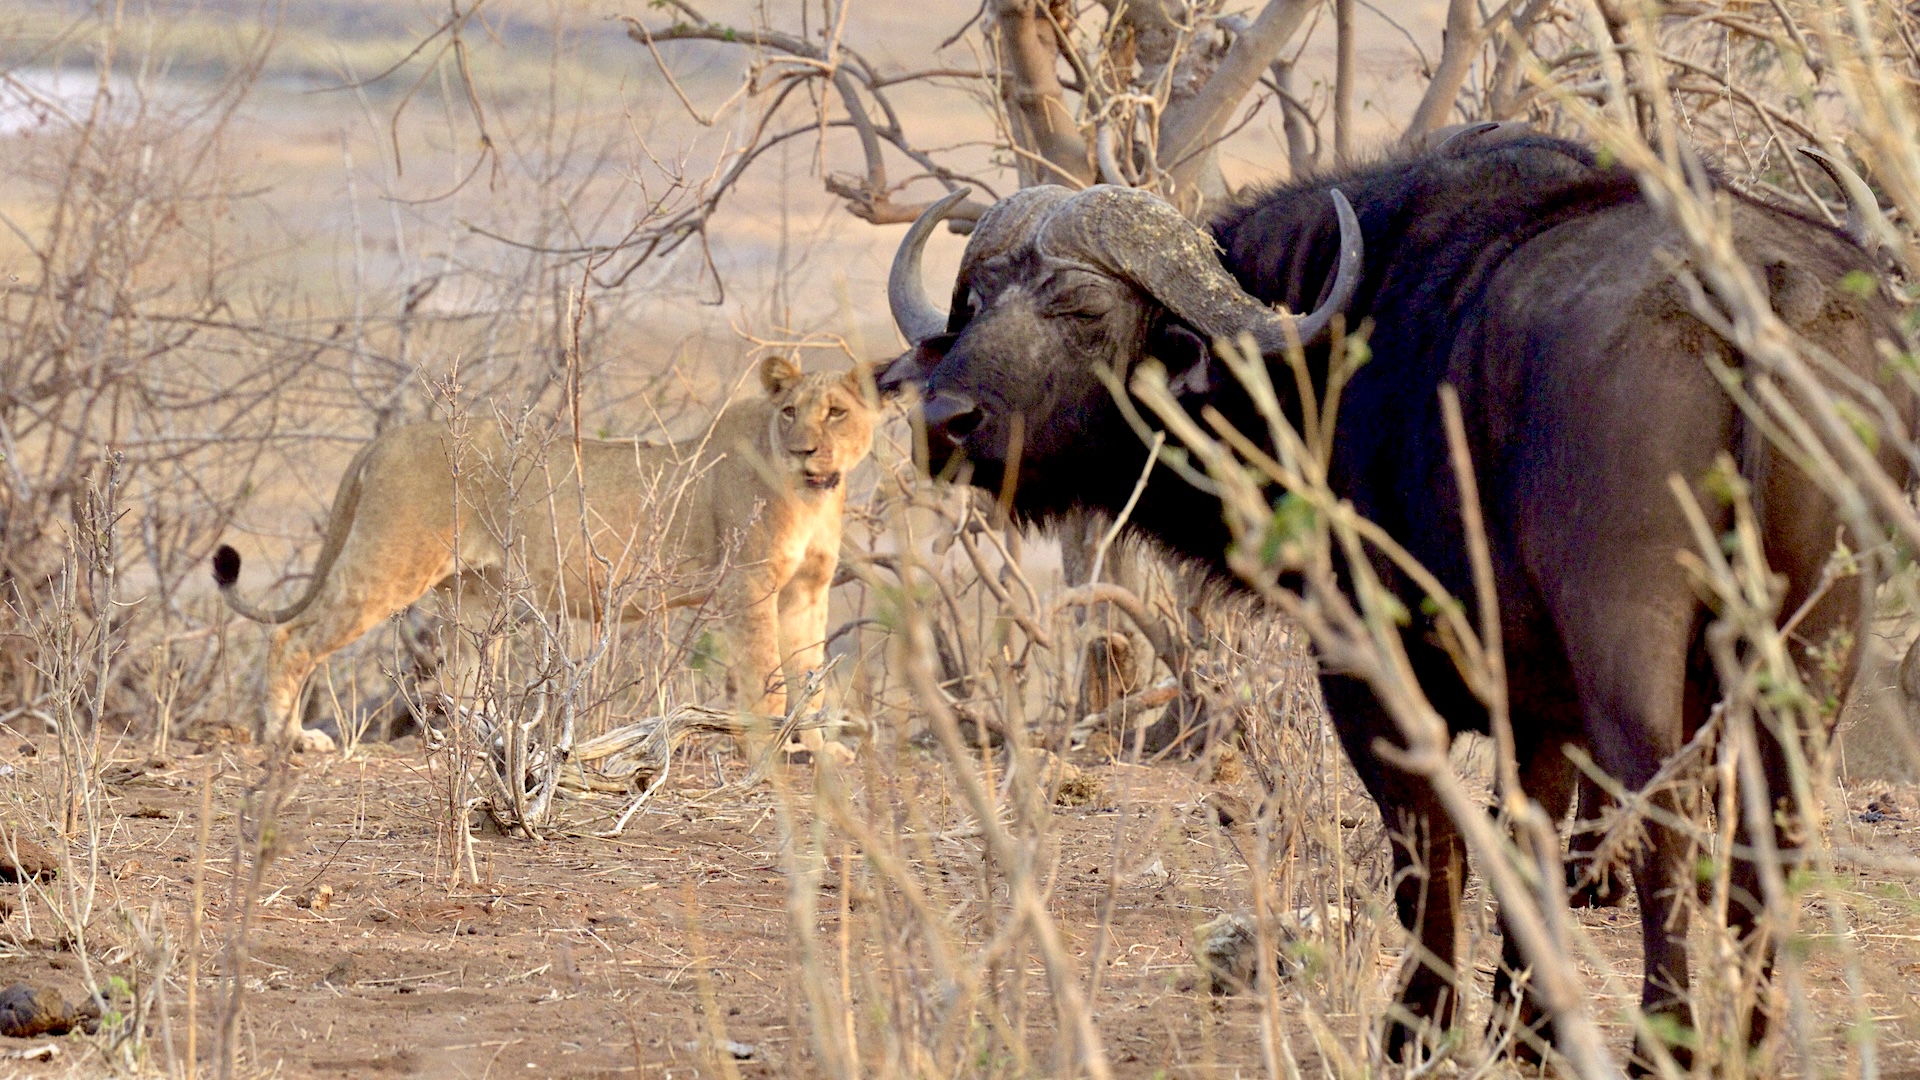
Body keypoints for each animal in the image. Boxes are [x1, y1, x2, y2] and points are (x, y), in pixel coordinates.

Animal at [210, 356, 882, 756]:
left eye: (837, 412)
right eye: (789, 411)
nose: (804, 449)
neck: (814, 493)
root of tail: (386, 439)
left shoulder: (807, 590)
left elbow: (810, 672)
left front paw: (819, 749)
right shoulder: (747, 585)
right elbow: (770, 676)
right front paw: (772, 750)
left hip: (474, 594)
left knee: (461, 681)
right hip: (388, 565)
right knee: (292, 636)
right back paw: (290, 738)